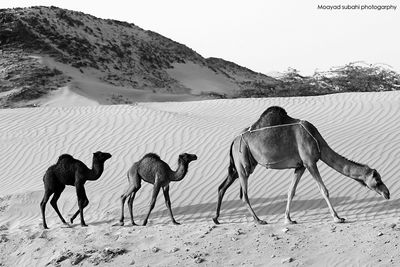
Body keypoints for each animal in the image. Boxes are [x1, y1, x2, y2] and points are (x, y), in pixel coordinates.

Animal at [212, 107, 390, 226]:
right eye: (378, 180)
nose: (387, 193)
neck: (318, 141)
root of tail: (234, 140)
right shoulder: (310, 162)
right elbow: (324, 190)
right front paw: (338, 218)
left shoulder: (300, 166)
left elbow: (291, 191)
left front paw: (288, 219)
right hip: (243, 161)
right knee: (244, 194)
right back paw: (259, 220)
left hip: (239, 165)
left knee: (222, 186)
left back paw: (216, 219)